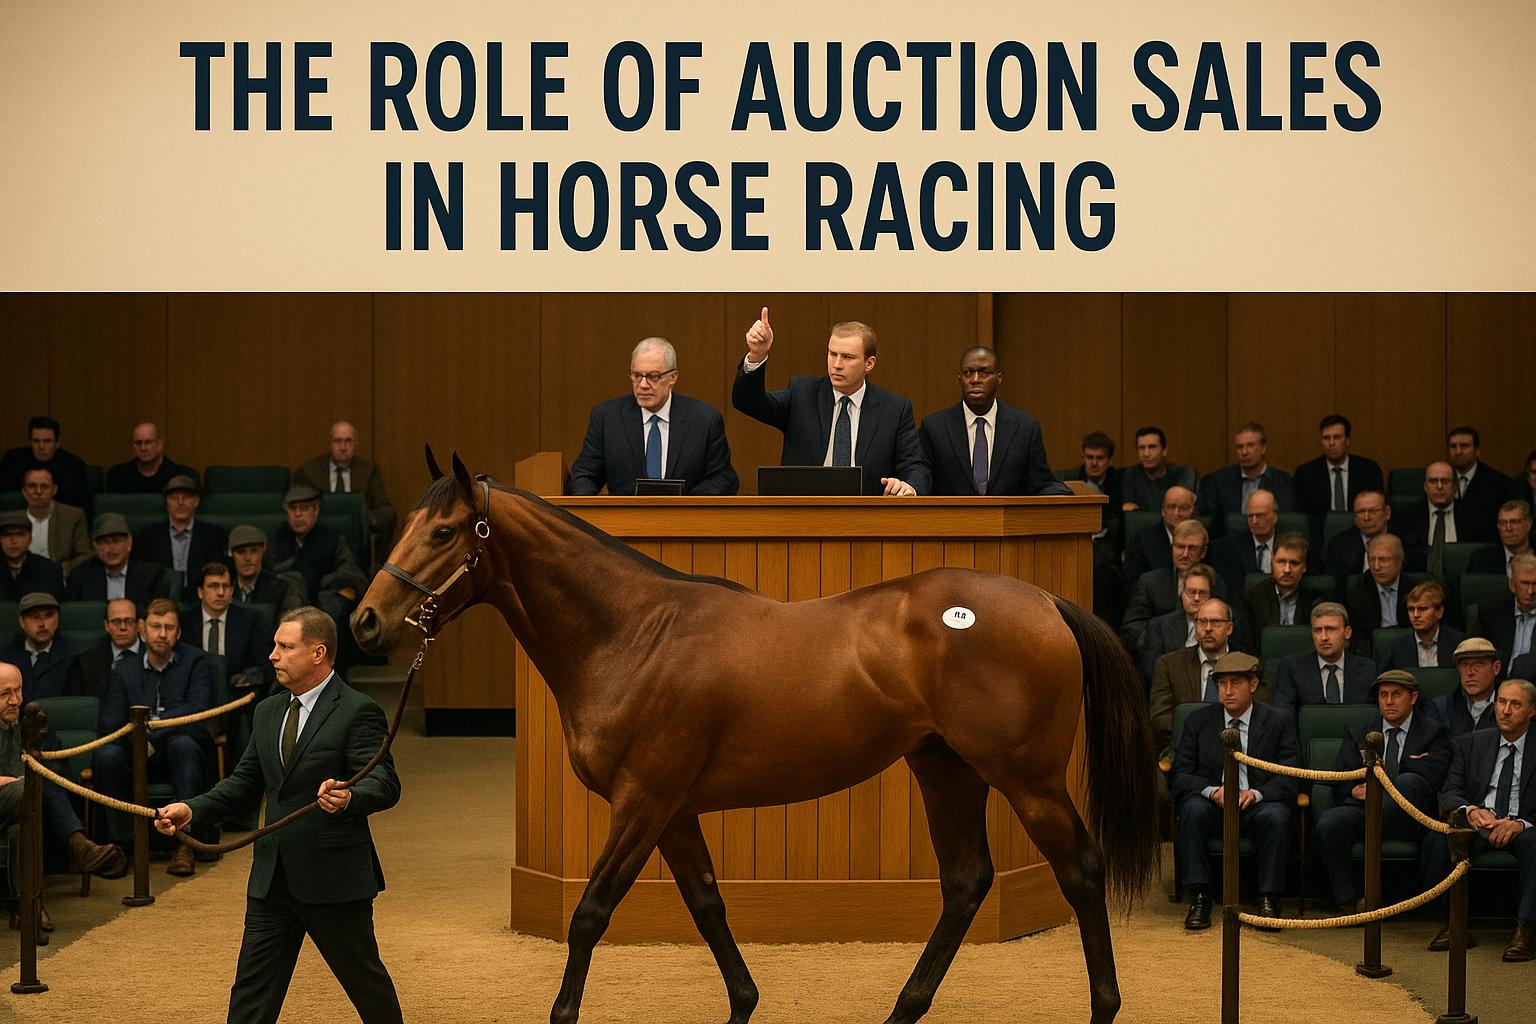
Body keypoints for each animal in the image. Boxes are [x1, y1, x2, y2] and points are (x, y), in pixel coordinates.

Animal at [352, 450, 1158, 1024]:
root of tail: (1046, 600)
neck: (635, 635)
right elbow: (708, 907)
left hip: (1028, 780)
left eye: (445, 532)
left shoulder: (641, 803)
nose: (365, 621)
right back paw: (904, 1009)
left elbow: (590, 916)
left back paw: (1103, 1007)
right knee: (965, 883)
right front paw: (744, 1004)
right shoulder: (673, 811)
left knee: (1081, 872)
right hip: (945, 769)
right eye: (408, 527)